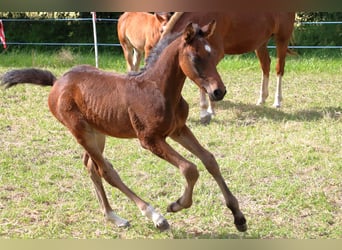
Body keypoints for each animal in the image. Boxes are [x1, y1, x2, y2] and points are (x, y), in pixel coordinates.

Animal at [0, 21, 247, 232]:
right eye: (196, 57)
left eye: (213, 55)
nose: (218, 91)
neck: (158, 88)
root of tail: (57, 81)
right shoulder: (149, 139)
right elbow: (189, 168)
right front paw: (176, 205)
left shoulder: (178, 129)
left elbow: (209, 160)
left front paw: (239, 217)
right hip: (80, 131)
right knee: (106, 171)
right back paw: (154, 216)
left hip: (97, 132)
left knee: (90, 166)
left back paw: (113, 216)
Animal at [162, 12, 296, 124]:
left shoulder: (214, 55)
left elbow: (205, 83)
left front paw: (207, 111)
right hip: (261, 43)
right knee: (265, 65)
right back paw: (262, 99)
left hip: (282, 38)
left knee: (279, 69)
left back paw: (277, 101)